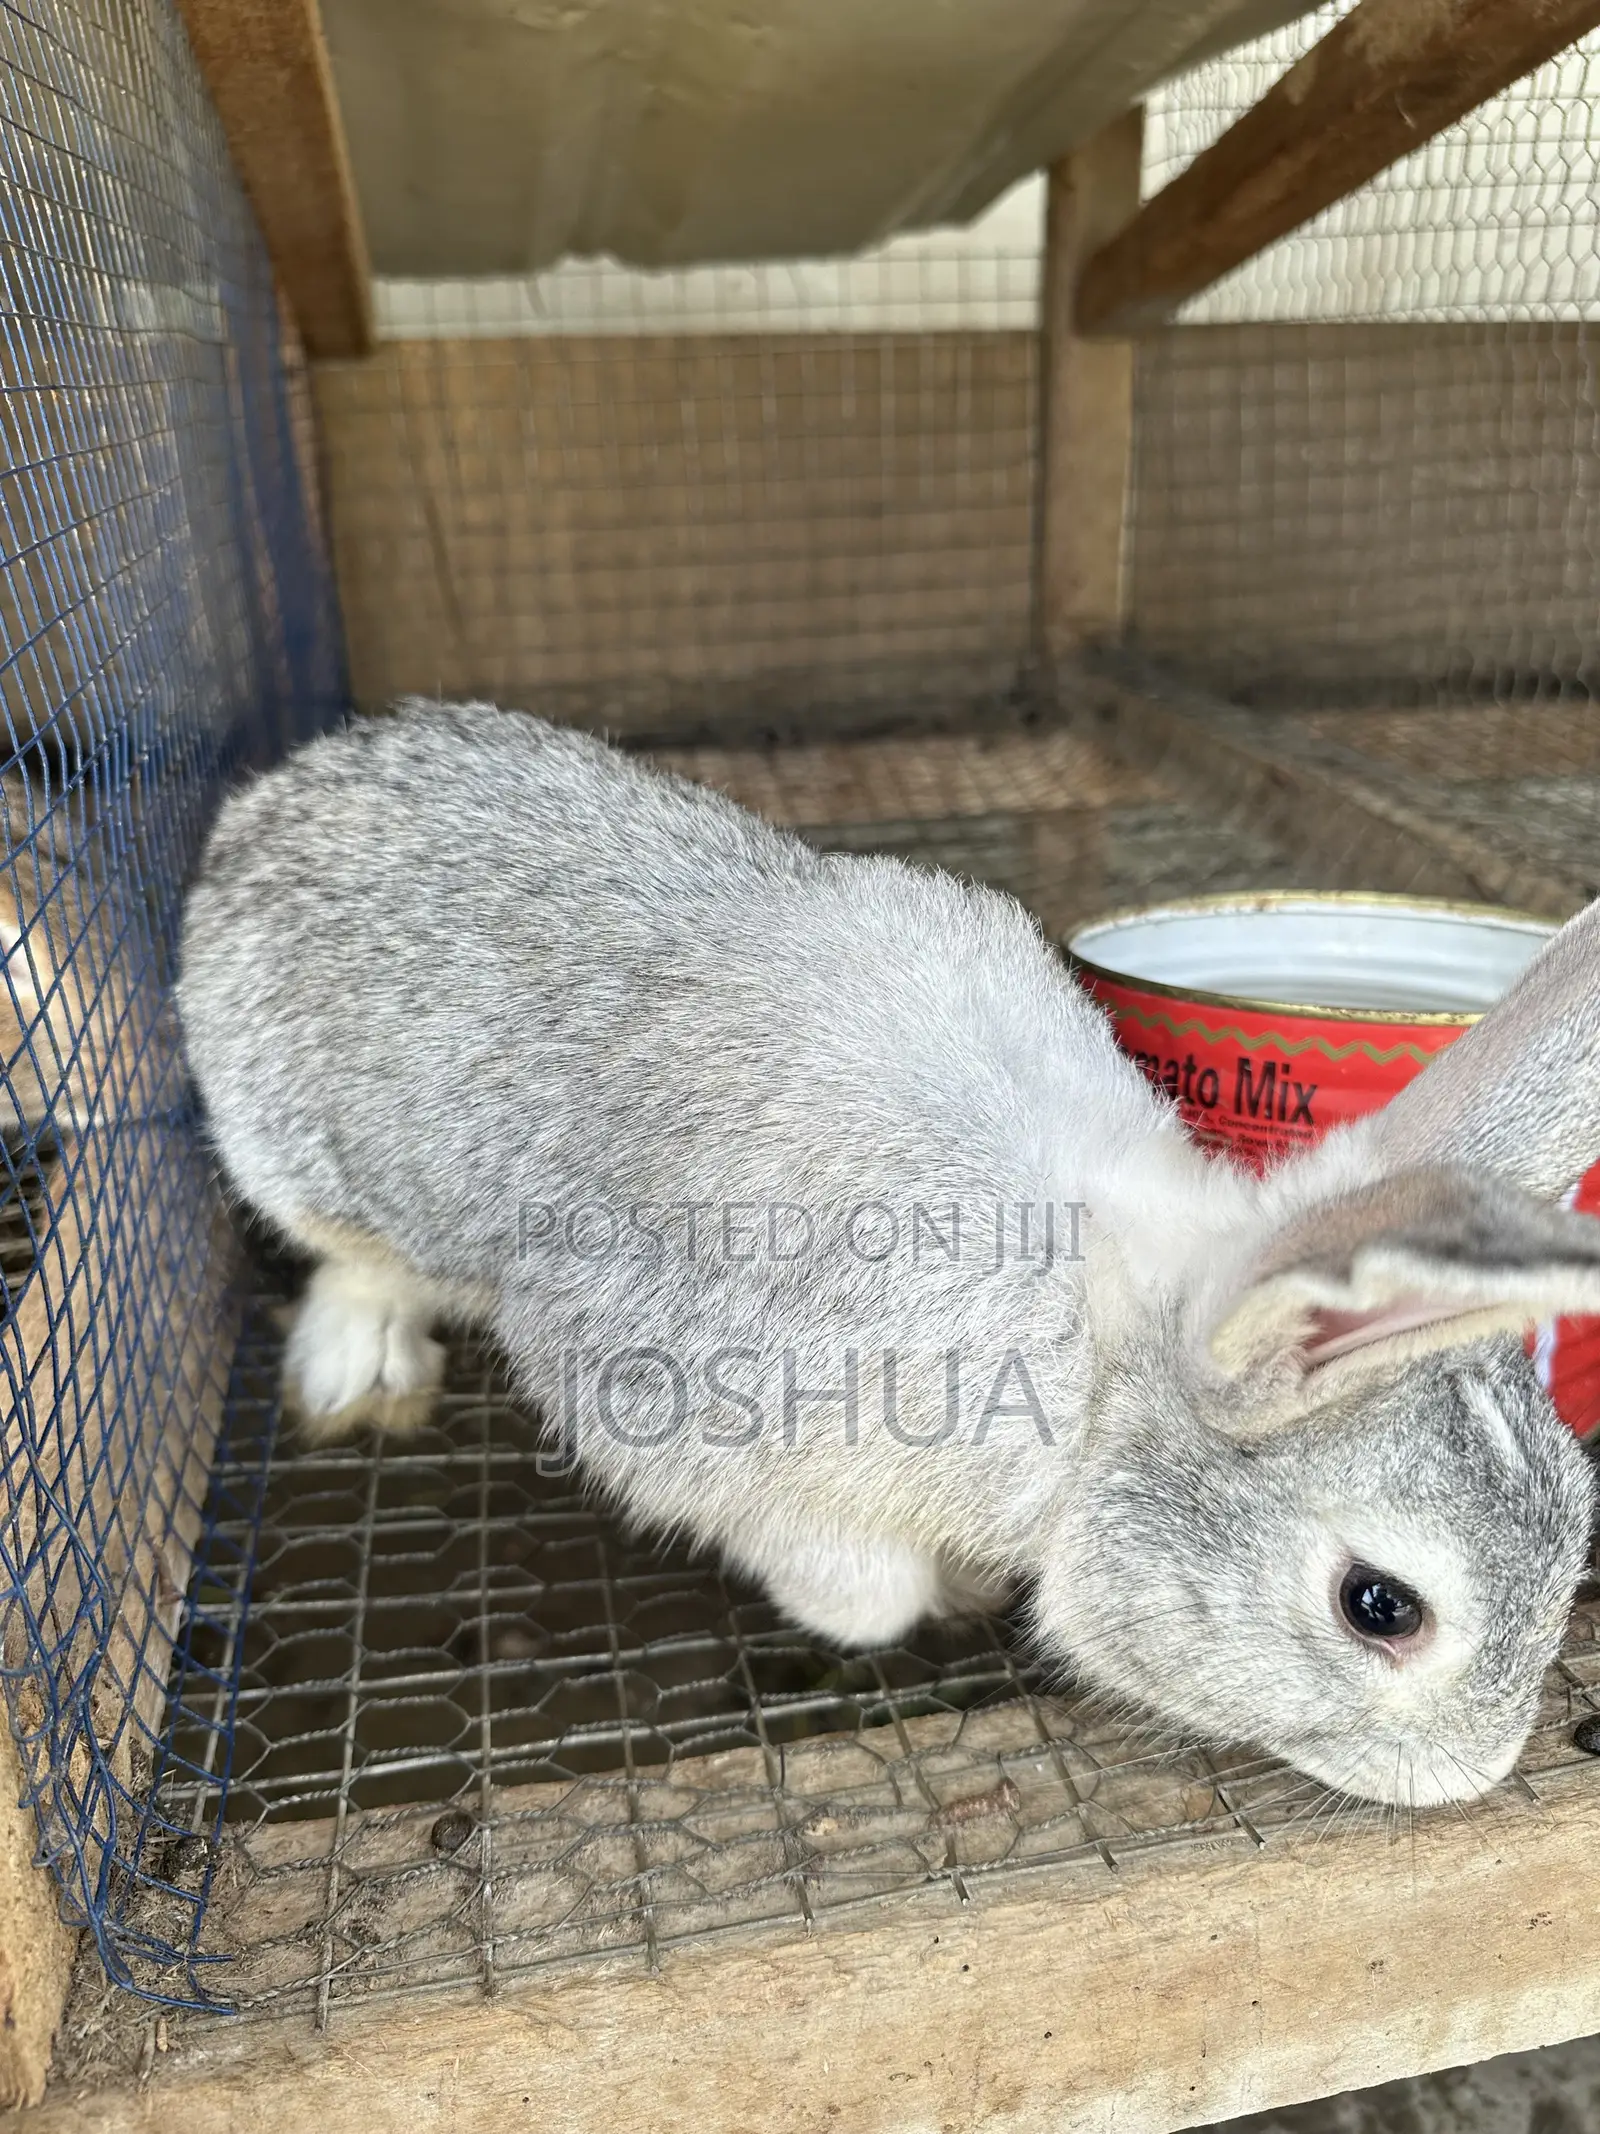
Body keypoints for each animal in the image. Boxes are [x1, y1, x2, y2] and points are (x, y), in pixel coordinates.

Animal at [177, 700, 1600, 1809]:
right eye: (1380, 1605)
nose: (1474, 1776)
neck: (1099, 1356)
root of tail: (283, 795)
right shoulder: (714, 1431)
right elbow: (862, 1596)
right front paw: (935, 1599)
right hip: (303, 1161)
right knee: (356, 1260)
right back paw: (360, 1371)